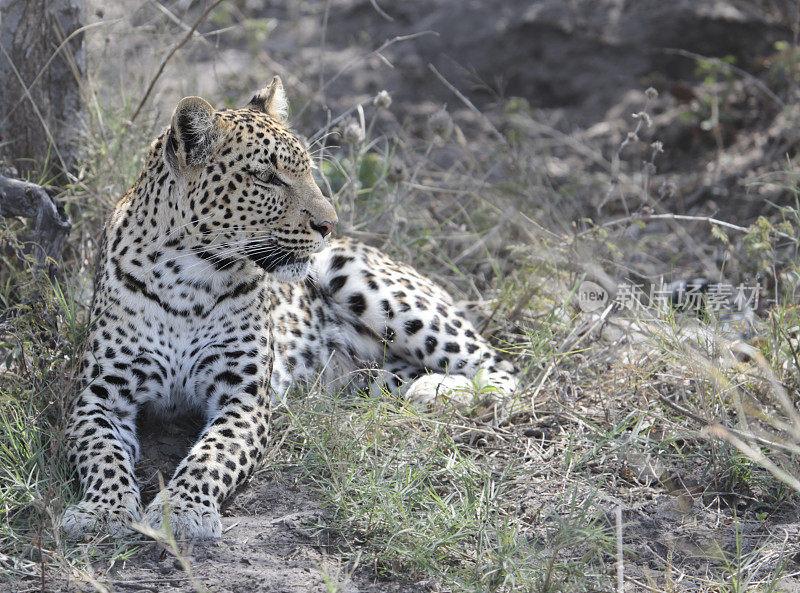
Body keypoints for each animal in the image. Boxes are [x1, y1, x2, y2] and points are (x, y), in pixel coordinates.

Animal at [59, 76, 516, 540]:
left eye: (308, 171)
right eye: (267, 178)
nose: (330, 224)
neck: (186, 277)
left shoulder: (244, 398)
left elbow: (211, 456)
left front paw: (184, 509)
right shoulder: (99, 395)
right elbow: (102, 455)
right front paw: (104, 510)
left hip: (369, 283)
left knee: (501, 368)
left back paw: (438, 391)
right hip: (370, 367)